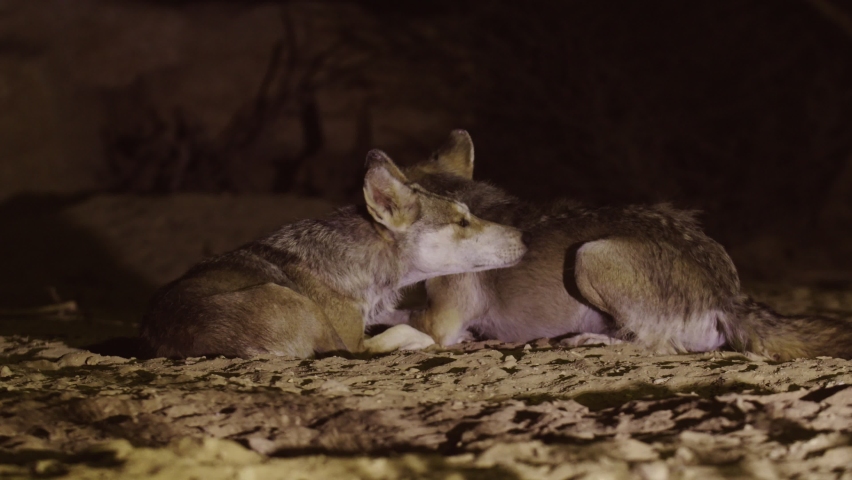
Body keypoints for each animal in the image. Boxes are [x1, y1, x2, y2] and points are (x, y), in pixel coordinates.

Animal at [140, 149, 527, 359]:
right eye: (462, 222)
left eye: (469, 215)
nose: (524, 236)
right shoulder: (352, 339)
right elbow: (416, 332)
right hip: (297, 304)